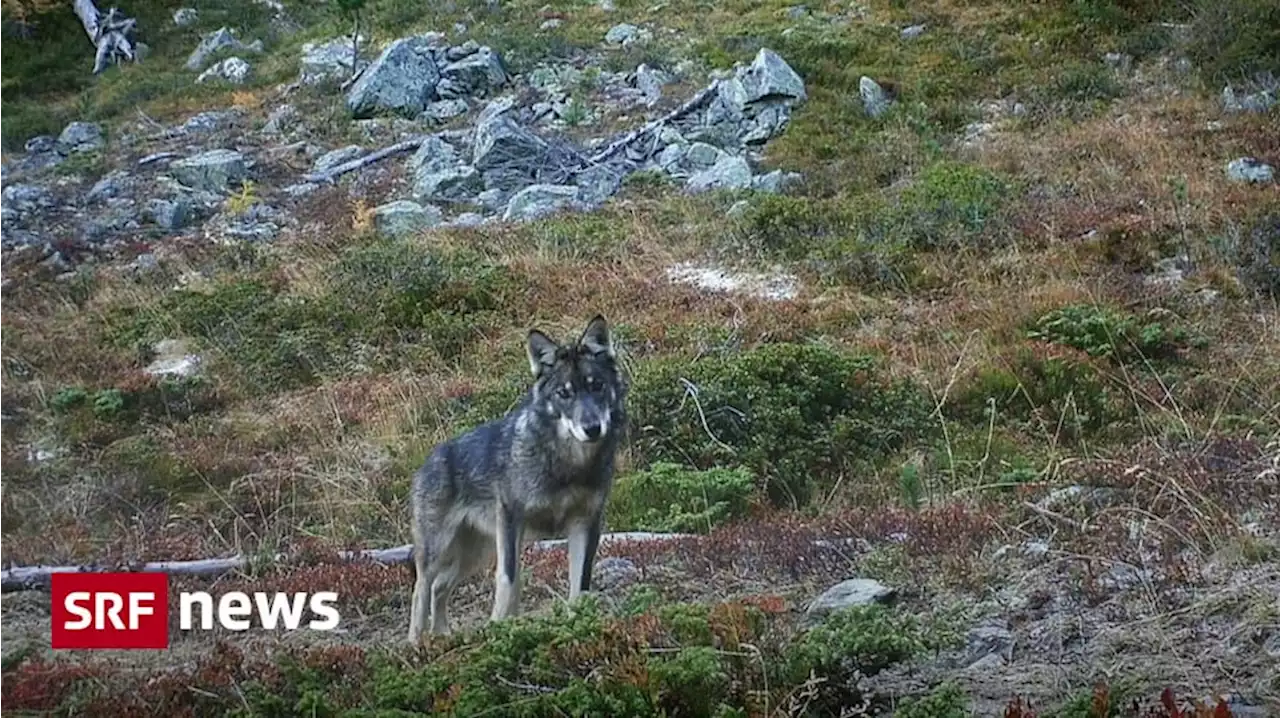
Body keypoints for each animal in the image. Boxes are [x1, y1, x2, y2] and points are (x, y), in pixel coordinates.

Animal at [407, 313, 627, 637]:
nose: (592, 428)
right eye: (564, 393)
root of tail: (428, 460)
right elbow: (509, 581)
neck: (569, 465)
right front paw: (500, 627)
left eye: (597, 385)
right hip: (439, 549)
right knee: (421, 590)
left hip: (475, 554)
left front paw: (578, 624)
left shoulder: (586, 523)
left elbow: (580, 585)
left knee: (439, 588)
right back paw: (417, 643)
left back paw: (443, 638)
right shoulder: (512, 520)